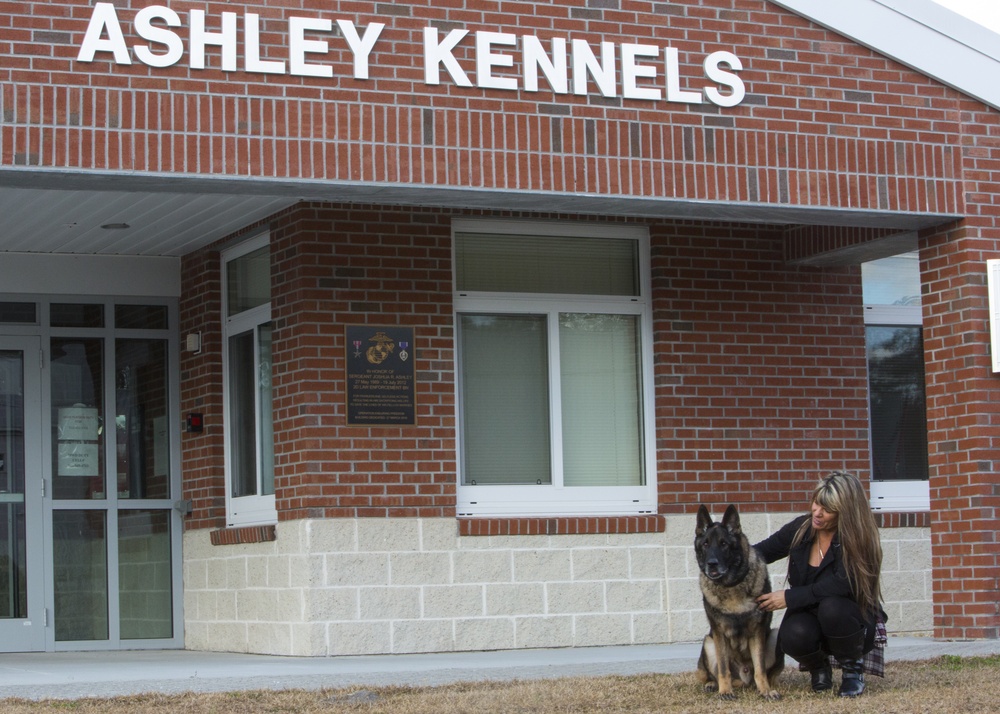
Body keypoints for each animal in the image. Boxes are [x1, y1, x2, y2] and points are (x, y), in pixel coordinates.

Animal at [696, 504, 780, 700]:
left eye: (724, 544)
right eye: (705, 544)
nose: (711, 564)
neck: (731, 585)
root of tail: (744, 678)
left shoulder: (757, 632)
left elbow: (760, 669)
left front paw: (765, 691)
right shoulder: (718, 634)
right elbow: (723, 669)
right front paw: (725, 691)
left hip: (774, 636)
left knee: (768, 673)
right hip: (708, 642)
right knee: (711, 674)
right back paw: (713, 685)